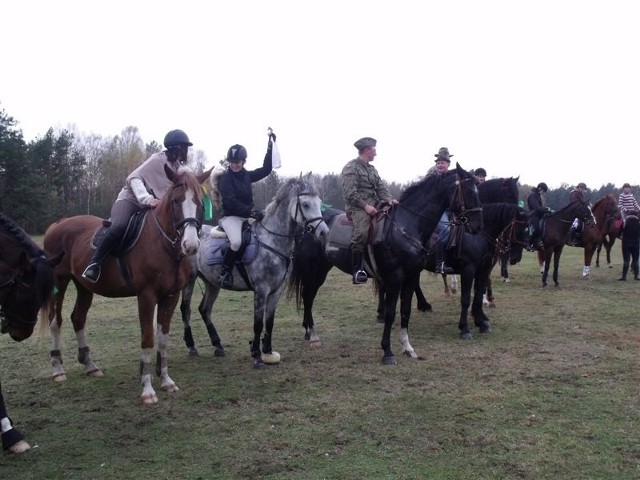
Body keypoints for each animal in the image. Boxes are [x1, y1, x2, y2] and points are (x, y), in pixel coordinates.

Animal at [43, 166, 212, 404]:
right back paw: (58, 368)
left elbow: (163, 338)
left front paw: (166, 381)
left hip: (84, 286)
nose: (191, 245)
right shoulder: (147, 296)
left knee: (78, 318)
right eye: (176, 201)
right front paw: (148, 388)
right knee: (55, 321)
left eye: (199, 202)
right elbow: (148, 338)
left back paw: (90, 365)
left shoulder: (171, 296)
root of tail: (58, 224)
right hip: (60, 281)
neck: (162, 243)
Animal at [180, 176, 330, 368]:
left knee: (204, 309)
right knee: (186, 309)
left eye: (319, 203)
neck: (272, 242)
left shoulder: (276, 291)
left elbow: (269, 321)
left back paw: (218, 345)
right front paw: (257, 355)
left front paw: (268, 351)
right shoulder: (261, 290)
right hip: (189, 281)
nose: (324, 232)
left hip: (212, 283)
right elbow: (258, 323)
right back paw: (191, 346)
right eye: (305, 204)